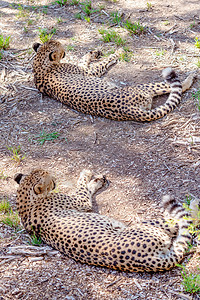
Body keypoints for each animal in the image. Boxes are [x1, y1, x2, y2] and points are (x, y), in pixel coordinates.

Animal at [14, 169, 198, 272]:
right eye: (50, 179)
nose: (55, 181)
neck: (26, 202)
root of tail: (151, 261)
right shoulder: (82, 201)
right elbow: (83, 186)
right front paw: (88, 175)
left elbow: (85, 187)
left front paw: (95, 179)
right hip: (144, 226)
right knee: (181, 221)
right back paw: (194, 205)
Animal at [32, 39, 195, 122]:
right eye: (61, 48)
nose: (65, 51)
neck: (40, 64)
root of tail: (128, 110)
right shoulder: (88, 71)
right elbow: (99, 62)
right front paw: (118, 52)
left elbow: (85, 56)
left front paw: (96, 52)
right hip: (144, 87)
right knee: (174, 86)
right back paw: (191, 76)